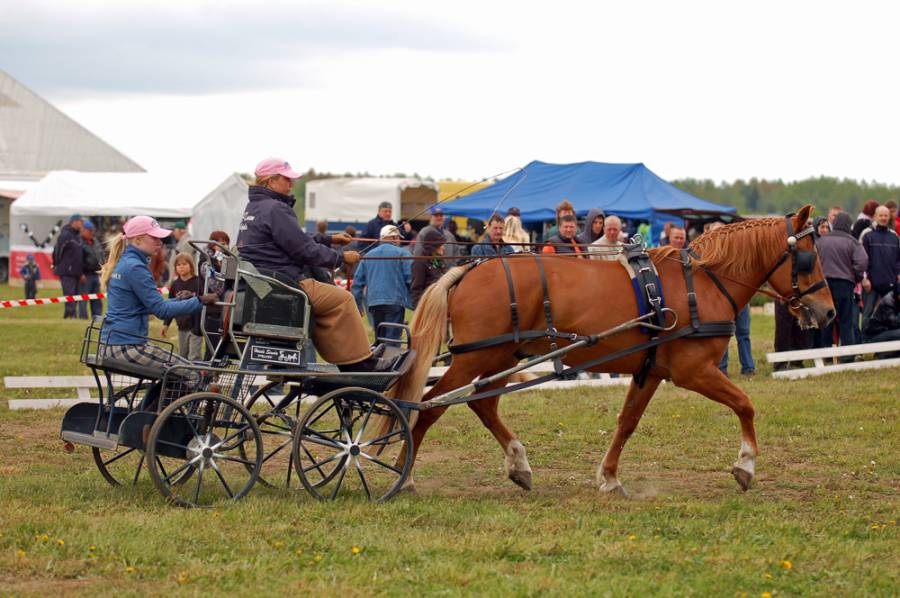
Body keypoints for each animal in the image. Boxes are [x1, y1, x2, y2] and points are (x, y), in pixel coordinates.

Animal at [388, 206, 836, 496]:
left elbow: (627, 422)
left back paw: (518, 464)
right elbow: (745, 404)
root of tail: (469, 269)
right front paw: (745, 466)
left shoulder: (651, 370)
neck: (705, 281)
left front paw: (608, 477)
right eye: (807, 257)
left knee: (482, 403)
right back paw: (404, 476)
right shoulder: (694, 371)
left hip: (498, 356)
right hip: (473, 358)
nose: (829, 311)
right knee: (428, 405)